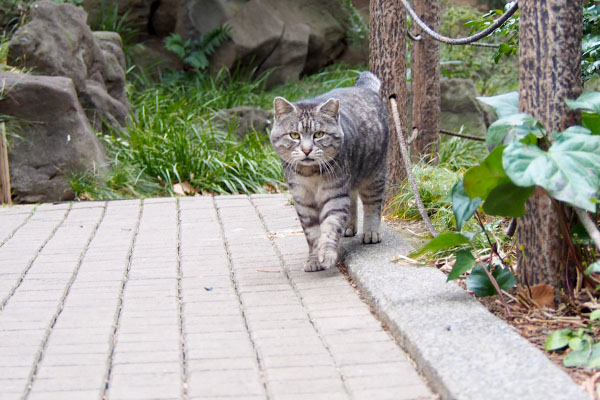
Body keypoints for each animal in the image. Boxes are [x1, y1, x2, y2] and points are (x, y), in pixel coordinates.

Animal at [270, 72, 390, 272]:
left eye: (319, 134)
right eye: (294, 135)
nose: (307, 150)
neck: (310, 175)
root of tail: (364, 88)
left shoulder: (334, 196)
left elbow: (330, 227)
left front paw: (326, 254)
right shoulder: (303, 201)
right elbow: (312, 234)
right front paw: (313, 260)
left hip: (374, 176)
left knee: (372, 205)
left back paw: (371, 232)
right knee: (353, 201)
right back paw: (350, 227)